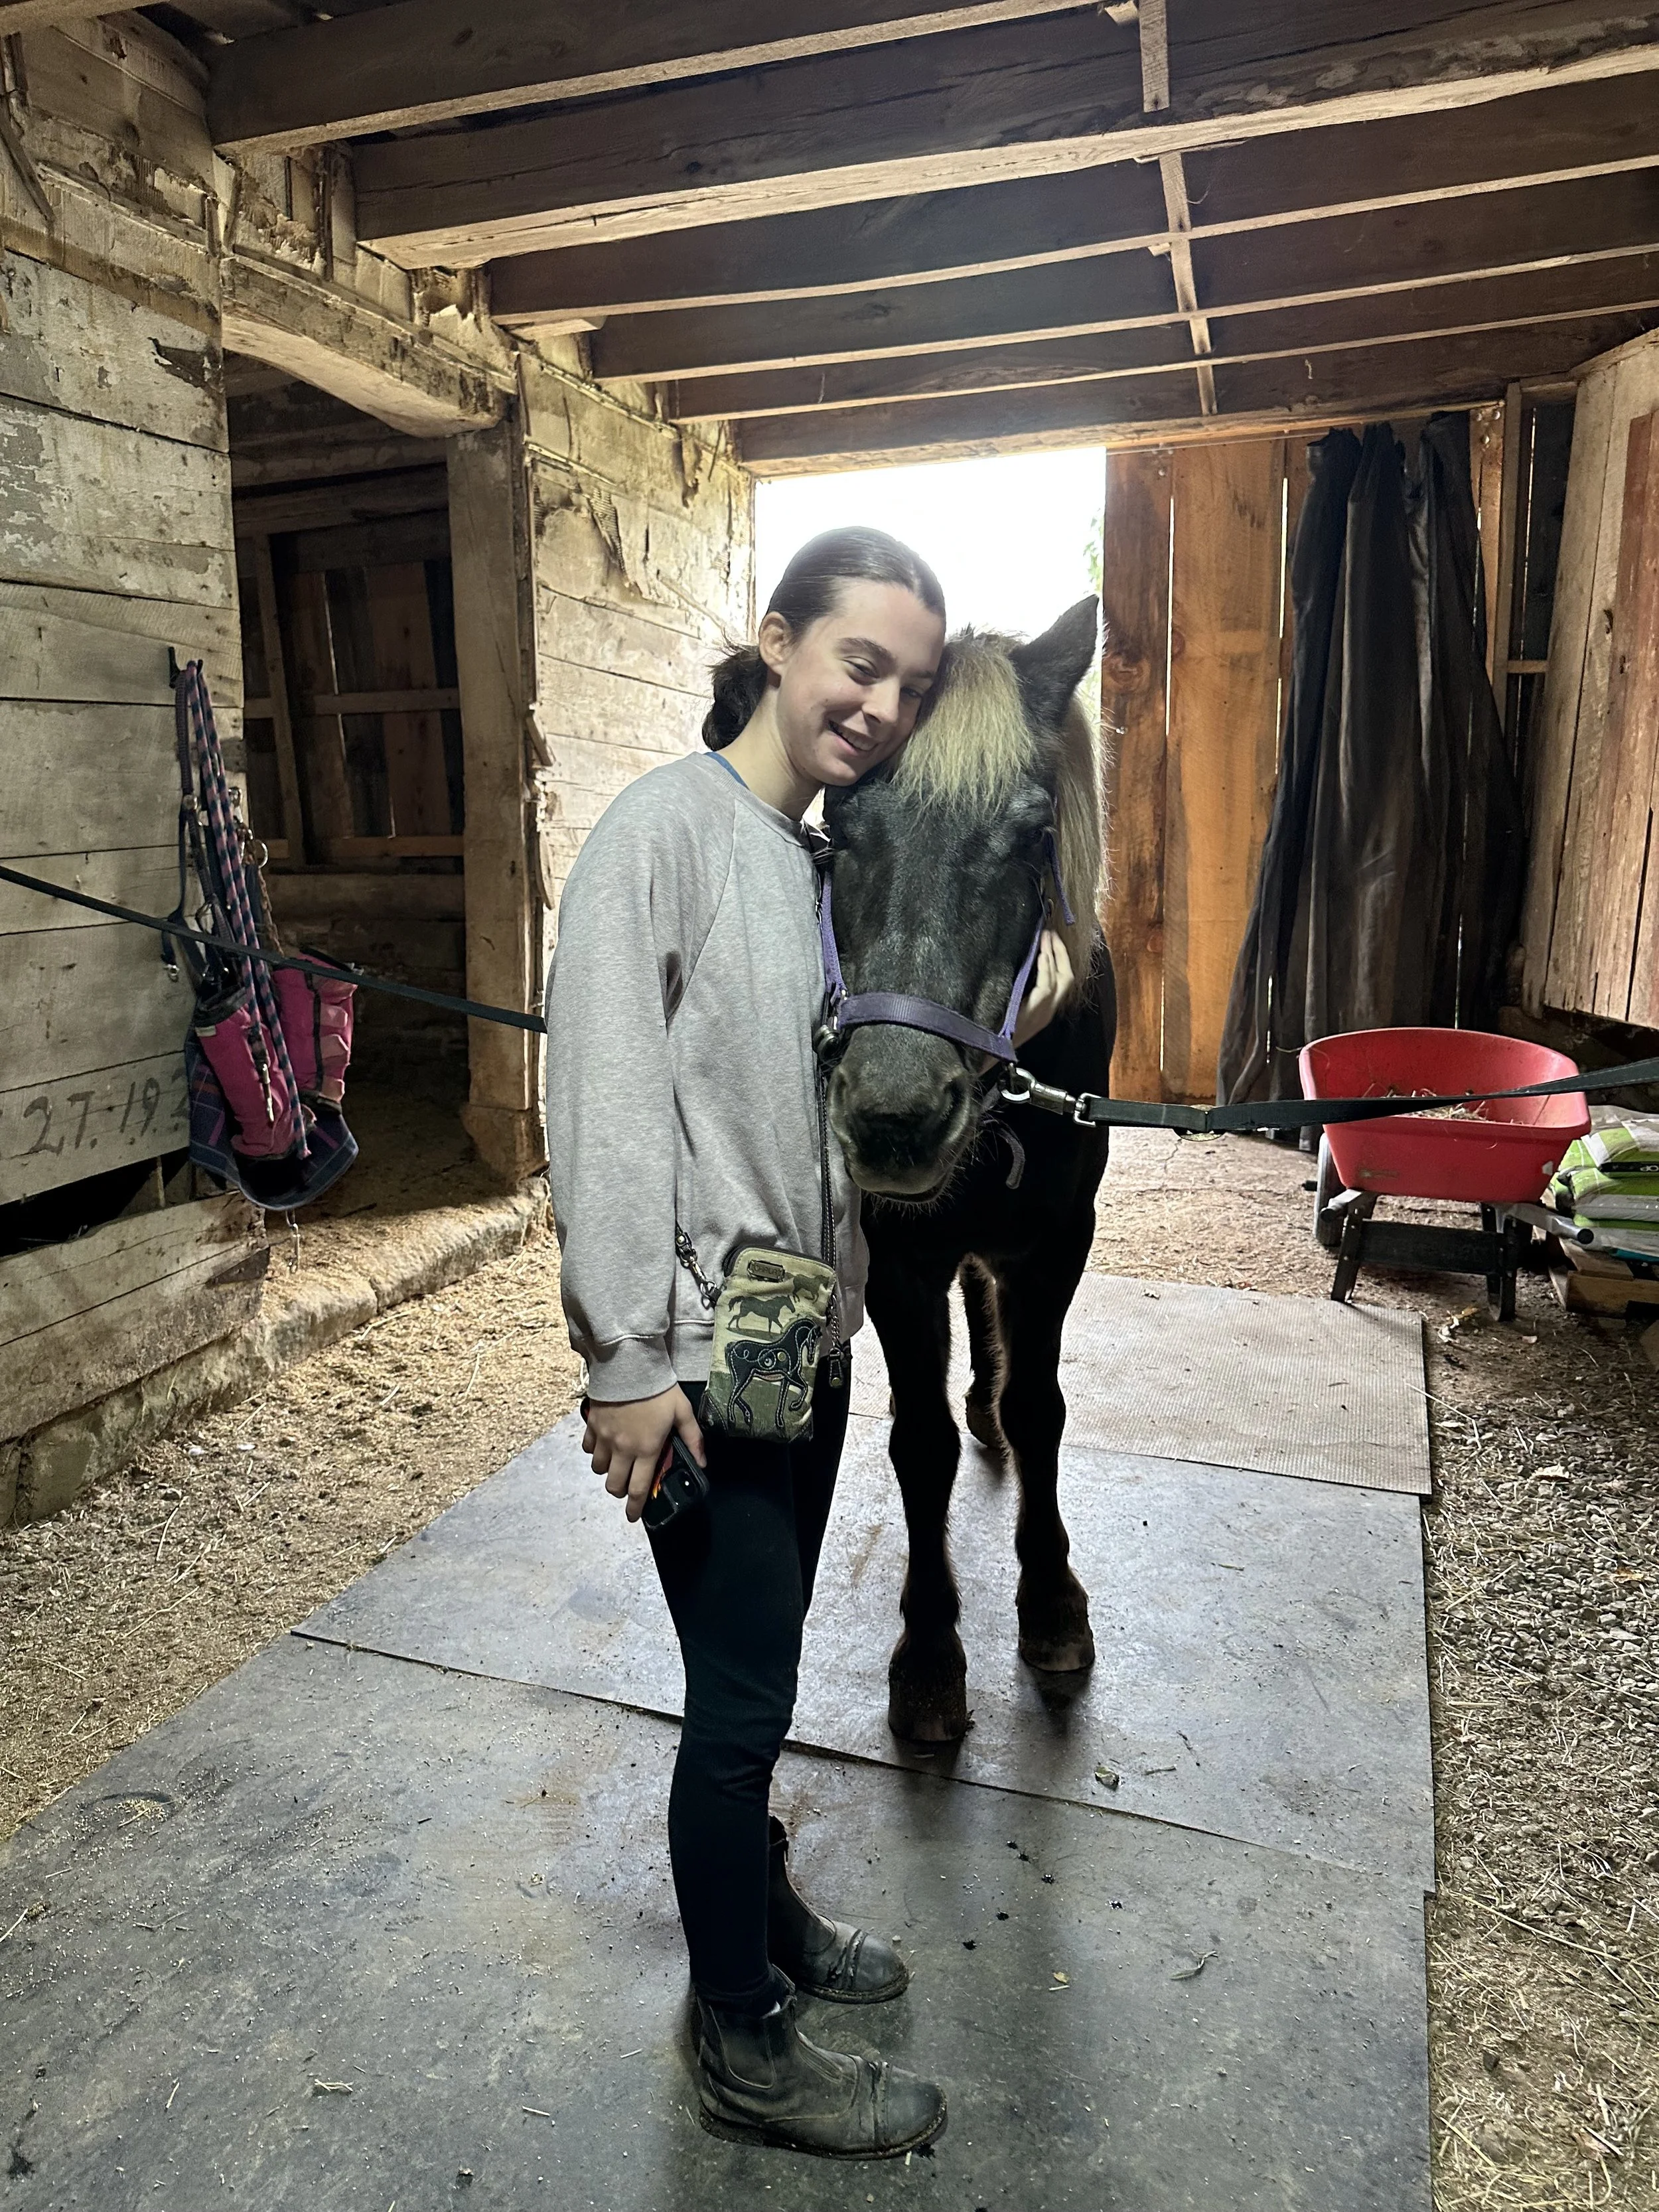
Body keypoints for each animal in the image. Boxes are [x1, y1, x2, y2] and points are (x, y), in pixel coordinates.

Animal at [820, 597, 1116, 1743]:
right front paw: (930, 1654)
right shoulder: (902, 1258)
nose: (896, 1116)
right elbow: (922, 1442)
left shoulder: (1058, 1243)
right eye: (835, 827)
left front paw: (1054, 1606)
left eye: (1034, 837)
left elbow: (1042, 1409)